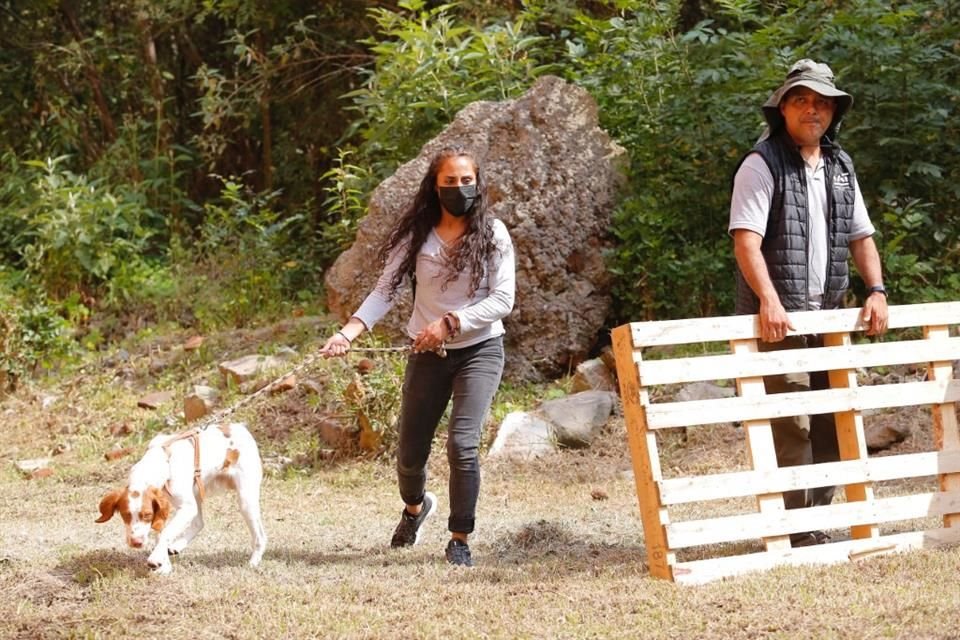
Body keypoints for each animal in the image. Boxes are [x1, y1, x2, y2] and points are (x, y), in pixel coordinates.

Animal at [96, 422, 268, 572]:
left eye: (147, 515)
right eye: (125, 515)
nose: (136, 543)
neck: (162, 462)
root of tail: (240, 427)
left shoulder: (185, 507)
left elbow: (165, 533)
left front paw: (156, 559)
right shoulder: (169, 506)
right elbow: (163, 534)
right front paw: (164, 564)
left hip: (245, 499)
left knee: (260, 535)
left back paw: (254, 561)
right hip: (196, 493)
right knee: (199, 523)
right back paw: (176, 546)